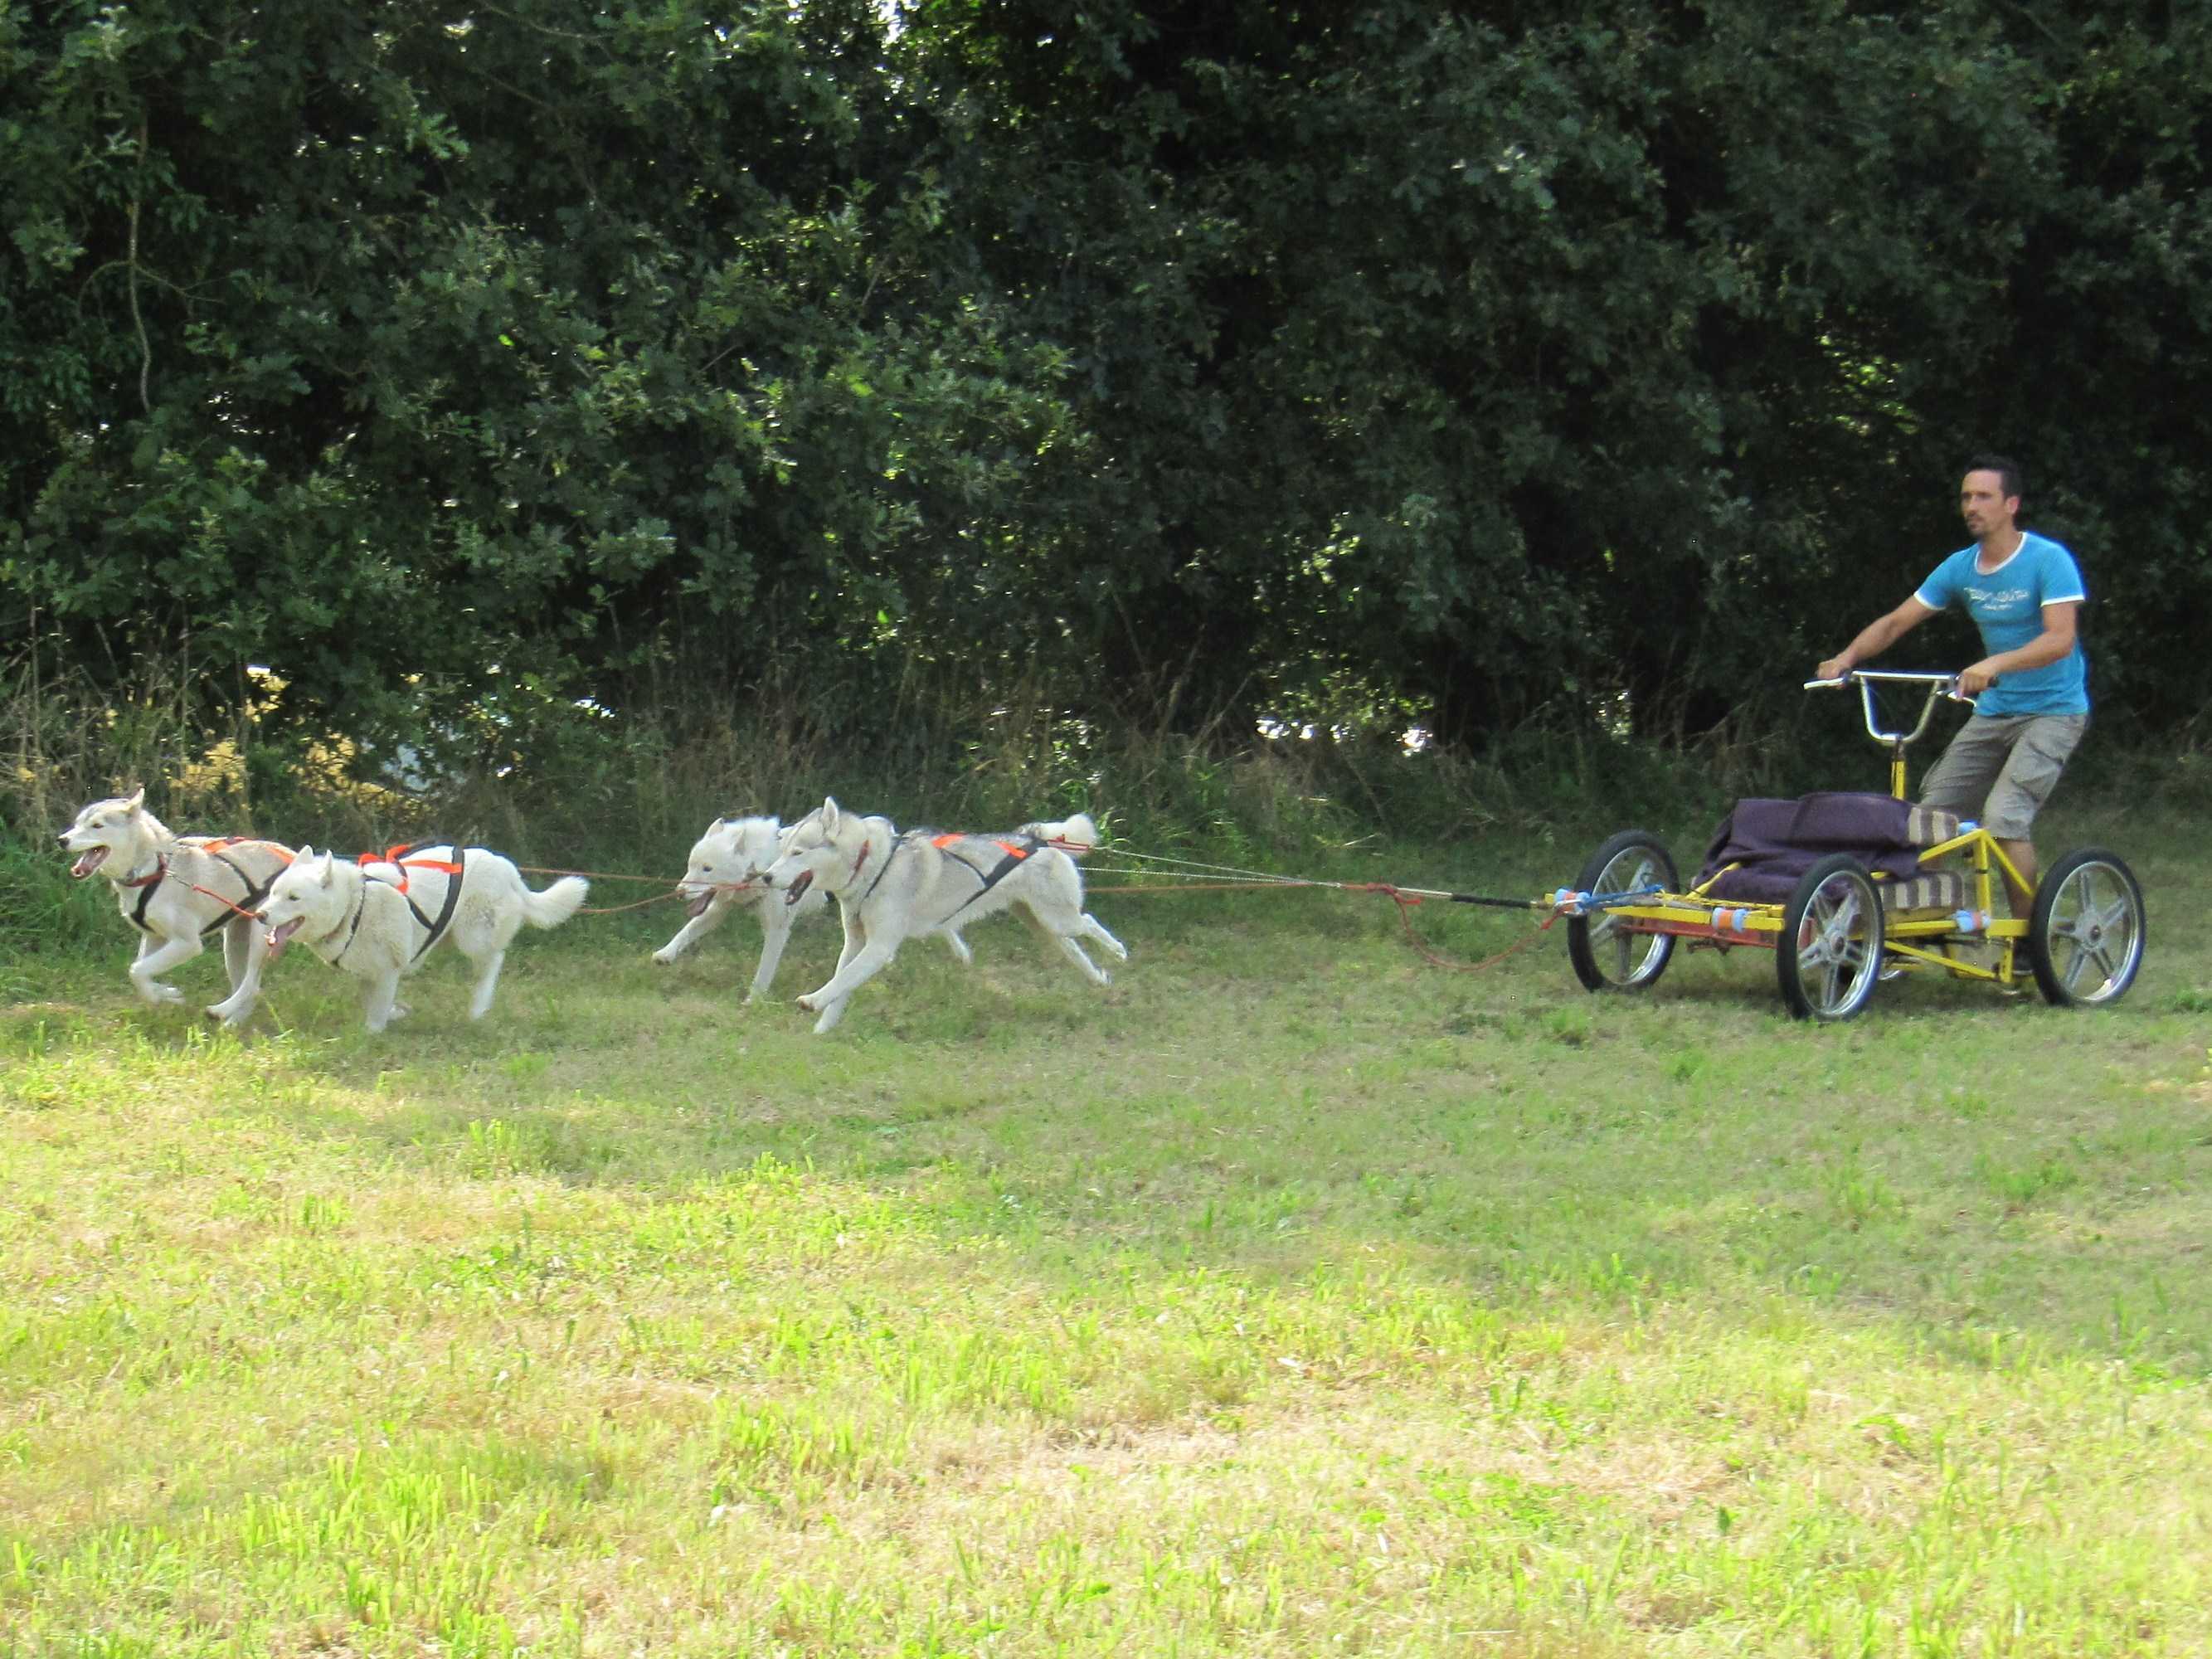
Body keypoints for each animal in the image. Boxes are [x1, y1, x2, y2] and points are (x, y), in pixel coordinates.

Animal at [60, 788, 294, 1024]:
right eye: (77, 823)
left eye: (97, 825)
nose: (62, 840)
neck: (154, 870)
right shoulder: (153, 936)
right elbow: (140, 970)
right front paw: (161, 994)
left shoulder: (187, 943)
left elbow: (137, 970)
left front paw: (161, 994)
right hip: (235, 942)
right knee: (249, 986)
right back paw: (233, 1021)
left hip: (260, 935)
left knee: (251, 984)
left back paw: (221, 1011)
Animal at [254, 842, 588, 1032]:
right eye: (274, 893)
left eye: (294, 898)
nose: (259, 915)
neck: (354, 905)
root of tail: (508, 868)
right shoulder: (368, 973)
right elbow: (375, 1001)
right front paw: (395, 1014)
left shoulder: (387, 970)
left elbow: (375, 1016)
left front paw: (372, 1034)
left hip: (473, 936)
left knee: (494, 961)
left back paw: (479, 1009)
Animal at [652, 812, 978, 1001]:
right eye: (691, 865)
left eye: (707, 869)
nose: (679, 892)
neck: (760, 866)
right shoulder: (719, 910)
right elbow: (688, 930)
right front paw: (665, 954)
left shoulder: (777, 928)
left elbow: (765, 968)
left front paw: (753, 1000)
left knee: (945, 926)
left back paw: (962, 954)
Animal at [762, 799, 1127, 1033]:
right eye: (781, 853)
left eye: (797, 853)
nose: (765, 877)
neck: (871, 867)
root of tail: (1036, 839)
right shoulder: (855, 943)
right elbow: (843, 984)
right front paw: (823, 1028)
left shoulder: (879, 947)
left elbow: (843, 980)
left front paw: (812, 1001)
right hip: (1043, 926)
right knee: (1075, 950)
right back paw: (1098, 978)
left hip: (1058, 919)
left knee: (1088, 922)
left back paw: (1118, 952)